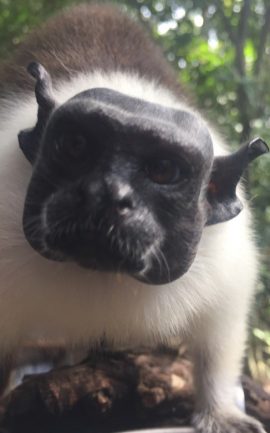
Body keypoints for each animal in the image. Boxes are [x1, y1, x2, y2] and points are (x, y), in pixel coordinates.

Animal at [0, 3, 268, 432]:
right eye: (76, 145)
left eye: (163, 171)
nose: (108, 193)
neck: (101, 275)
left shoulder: (224, 260)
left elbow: (219, 333)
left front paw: (220, 410)